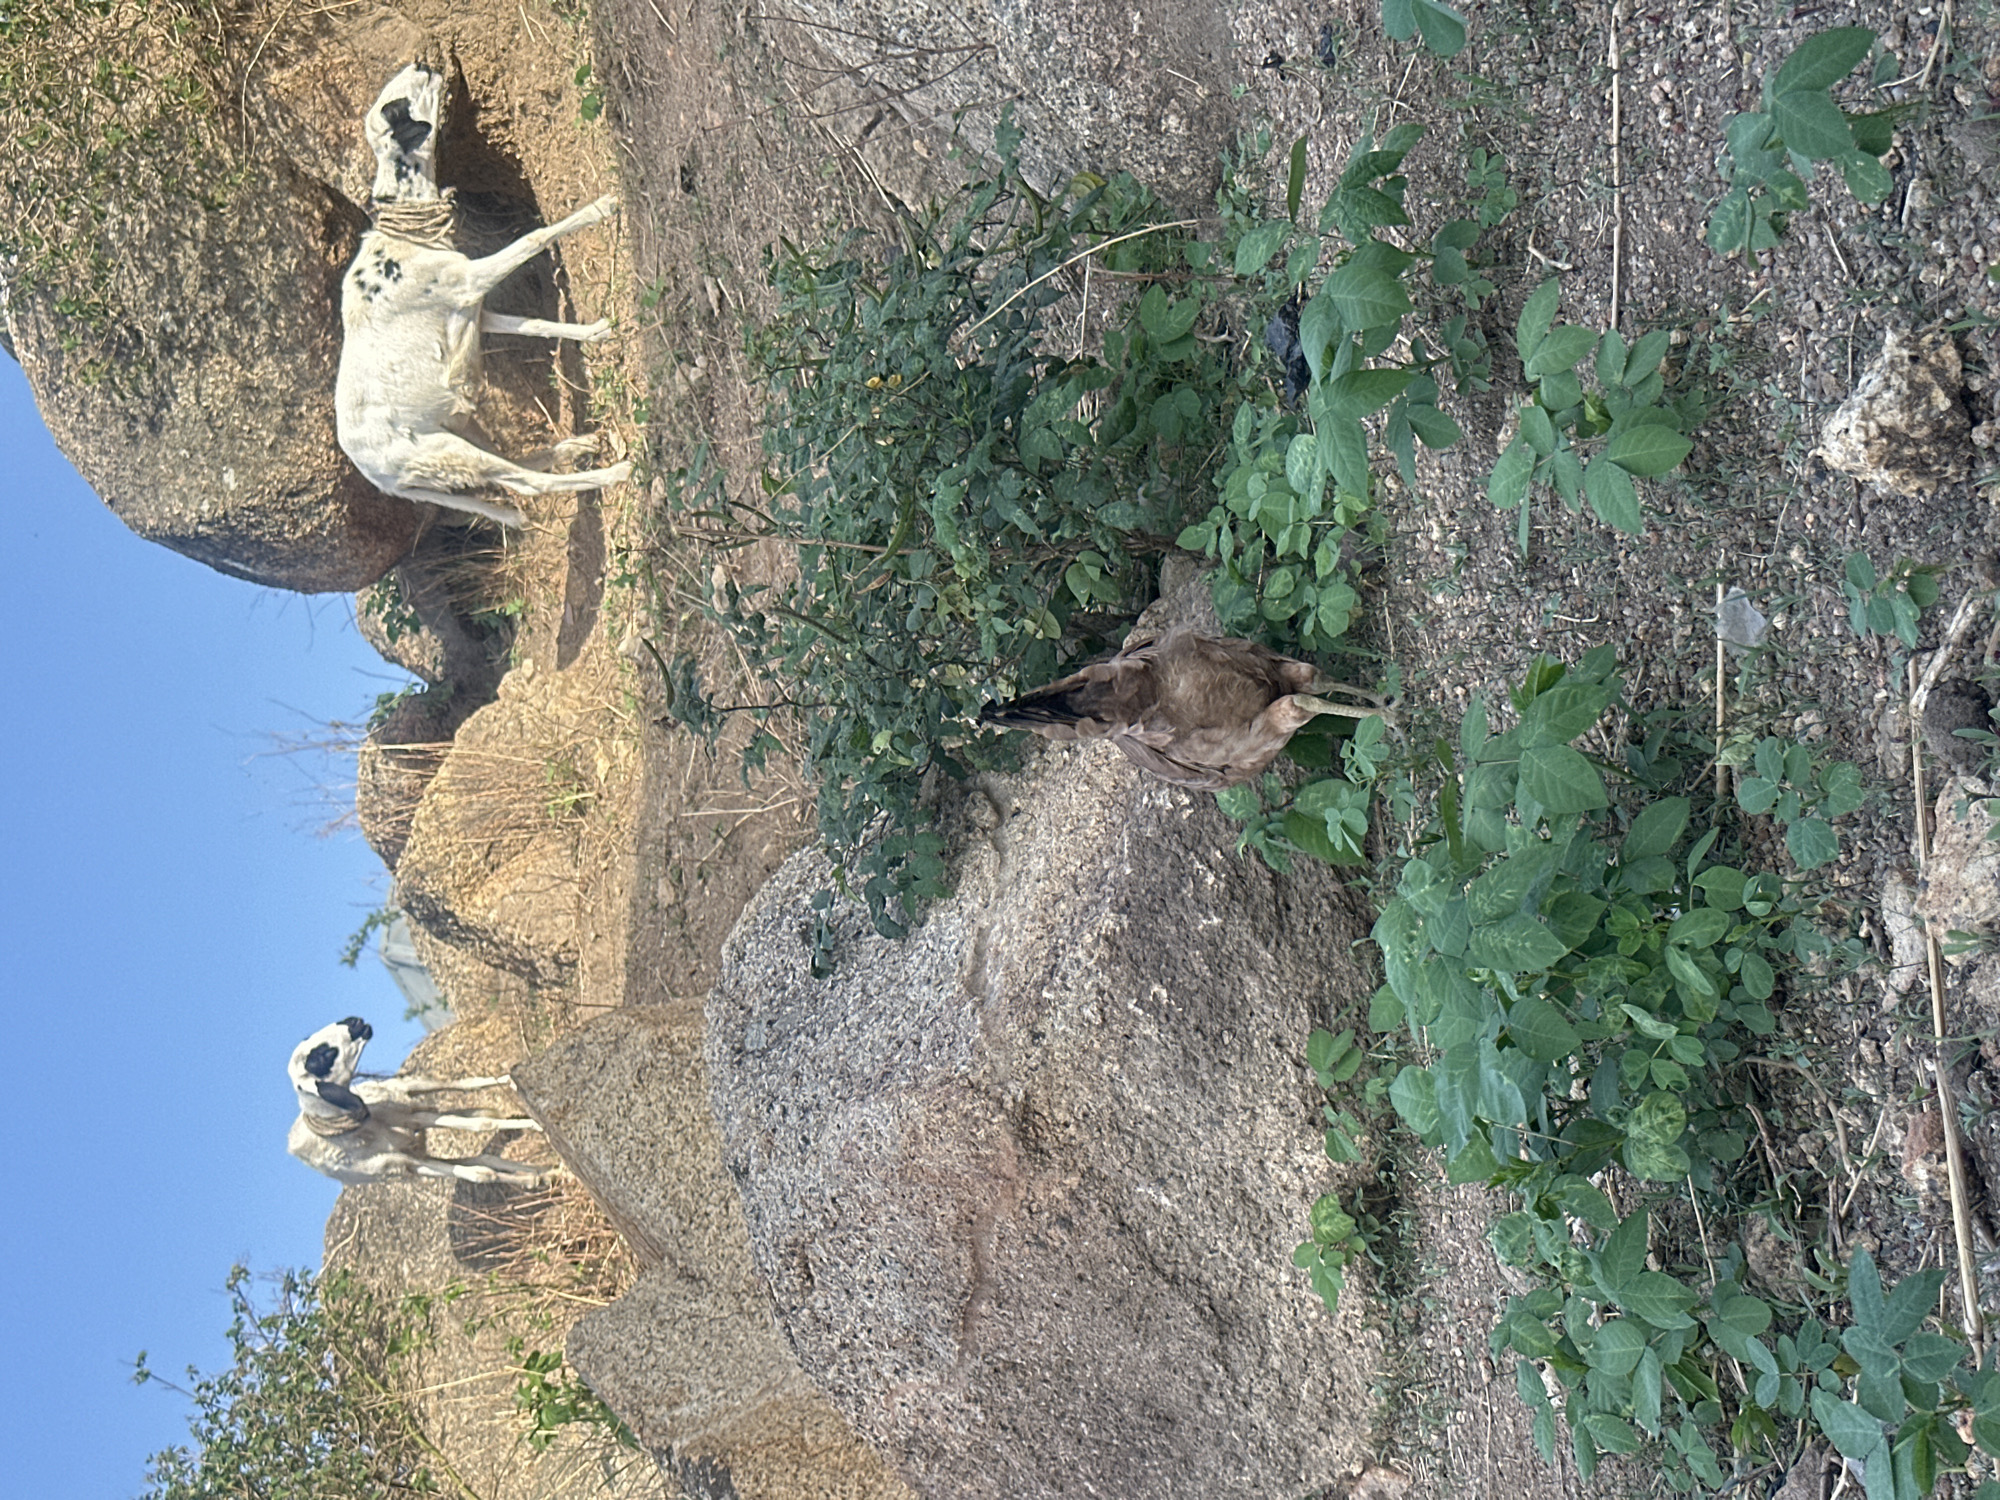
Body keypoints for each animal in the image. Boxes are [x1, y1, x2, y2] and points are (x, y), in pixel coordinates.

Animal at [288, 1016, 553, 1186]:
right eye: (322, 1056)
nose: (353, 1021)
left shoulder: (409, 1112)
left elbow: (469, 1091)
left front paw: (515, 1090)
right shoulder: (403, 1162)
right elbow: (482, 1160)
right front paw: (535, 1129)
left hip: (401, 1093)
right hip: (411, 1157)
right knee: (480, 1162)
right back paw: (536, 1175)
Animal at [335, 63, 630, 527]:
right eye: (398, 103)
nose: (422, 63)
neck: (408, 238)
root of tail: (378, 478)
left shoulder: (474, 308)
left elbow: (535, 325)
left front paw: (596, 332)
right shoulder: (471, 281)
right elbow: (535, 237)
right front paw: (600, 208)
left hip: (464, 431)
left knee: (522, 463)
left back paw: (575, 447)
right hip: (449, 451)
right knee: (527, 483)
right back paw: (613, 473)